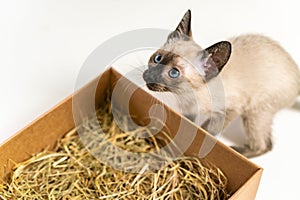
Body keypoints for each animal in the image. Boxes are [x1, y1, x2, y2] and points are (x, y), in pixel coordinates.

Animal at [142, 10, 300, 158]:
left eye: (174, 73)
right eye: (157, 58)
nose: (148, 76)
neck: (187, 95)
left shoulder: (229, 110)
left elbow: (208, 130)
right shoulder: (189, 111)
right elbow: (190, 123)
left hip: (255, 113)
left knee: (265, 145)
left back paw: (238, 151)